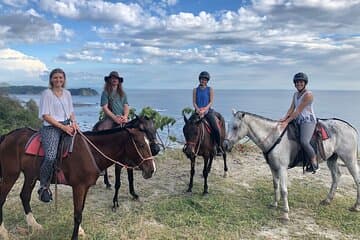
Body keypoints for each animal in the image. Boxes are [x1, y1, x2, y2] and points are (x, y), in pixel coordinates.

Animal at [0, 126, 155, 239]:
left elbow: (81, 210)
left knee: (24, 196)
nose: (152, 169)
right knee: (3, 198)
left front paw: (79, 230)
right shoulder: (78, 187)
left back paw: (35, 225)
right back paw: (3, 231)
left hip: (30, 175)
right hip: (10, 175)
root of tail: (7, 136)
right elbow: (77, 215)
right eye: (141, 145)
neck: (91, 152)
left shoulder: (85, 187)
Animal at [225, 109, 360, 220]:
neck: (274, 137)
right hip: (332, 158)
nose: (225, 145)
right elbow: (275, 185)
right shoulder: (273, 167)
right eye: (229, 125)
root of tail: (351, 128)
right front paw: (274, 204)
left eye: (235, 127)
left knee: (357, 180)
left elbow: (284, 190)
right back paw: (327, 200)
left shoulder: (282, 168)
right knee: (336, 176)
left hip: (349, 159)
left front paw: (285, 213)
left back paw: (356, 206)